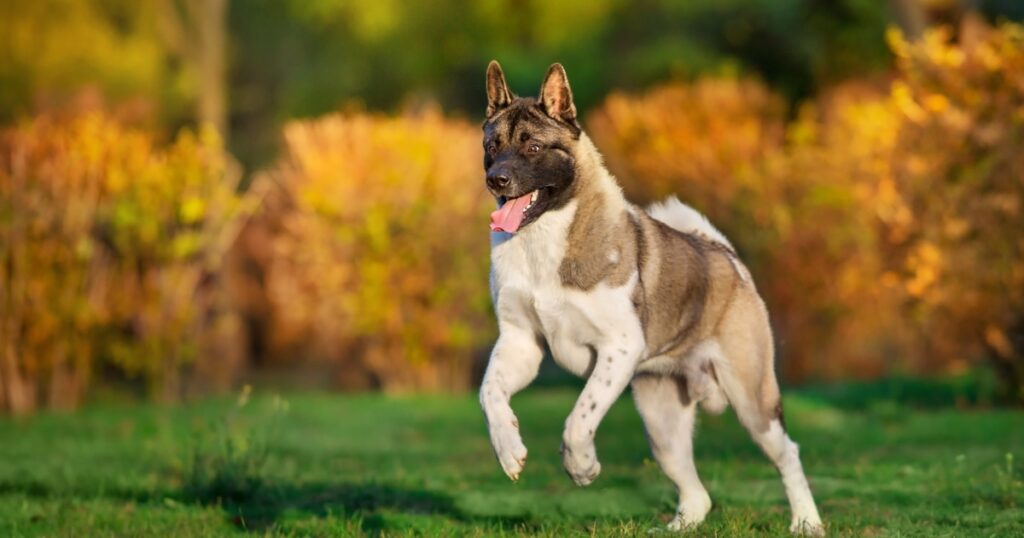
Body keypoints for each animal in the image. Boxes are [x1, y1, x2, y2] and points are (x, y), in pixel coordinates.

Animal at [477, 61, 823, 532]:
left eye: (532, 146)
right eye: (492, 145)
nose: (496, 178)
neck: (544, 240)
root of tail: (727, 257)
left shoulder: (618, 348)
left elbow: (579, 417)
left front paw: (581, 466)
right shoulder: (521, 344)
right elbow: (490, 392)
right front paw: (509, 450)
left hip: (754, 402)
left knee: (787, 453)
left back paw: (807, 521)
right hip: (662, 424)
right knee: (696, 492)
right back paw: (680, 526)